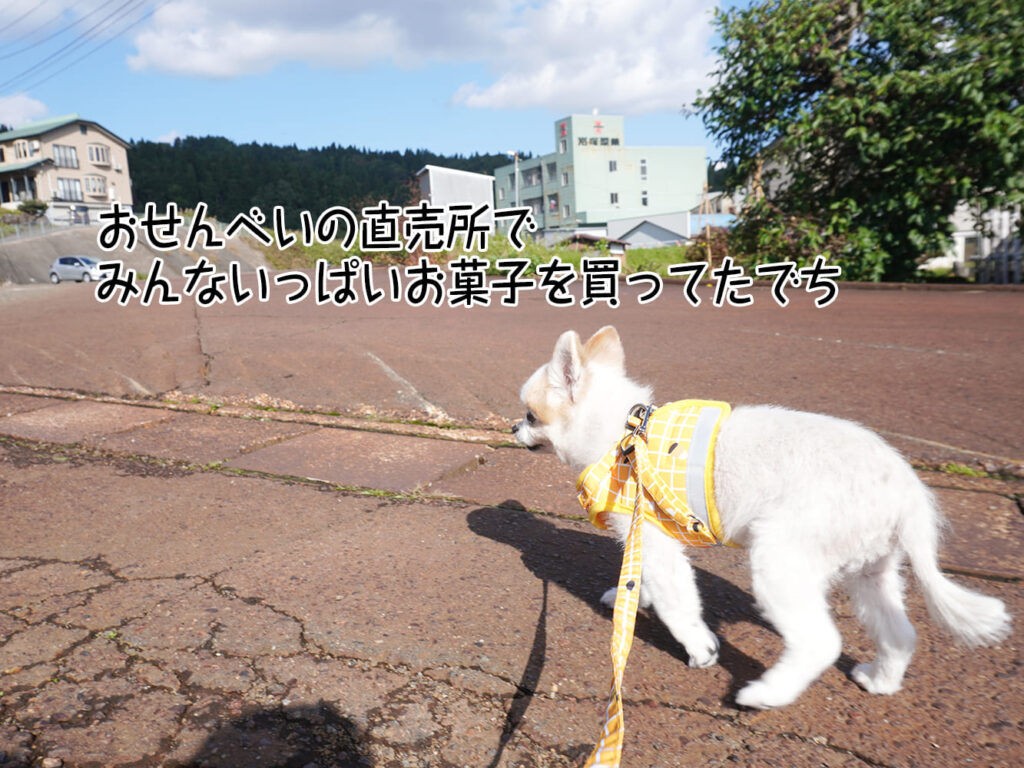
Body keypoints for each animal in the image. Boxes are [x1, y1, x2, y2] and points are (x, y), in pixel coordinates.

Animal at [516, 325, 1011, 708]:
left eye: (530, 415)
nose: (514, 427)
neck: (621, 434)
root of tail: (908, 491)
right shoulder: (653, 541)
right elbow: (647, 583)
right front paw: (634, 599)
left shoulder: (652, 539)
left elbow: (679, 603)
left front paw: (698, 648)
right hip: (870, 571)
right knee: (900, 633)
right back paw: (879, 680)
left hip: (781, 558)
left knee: (820, 643)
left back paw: (766, 694)